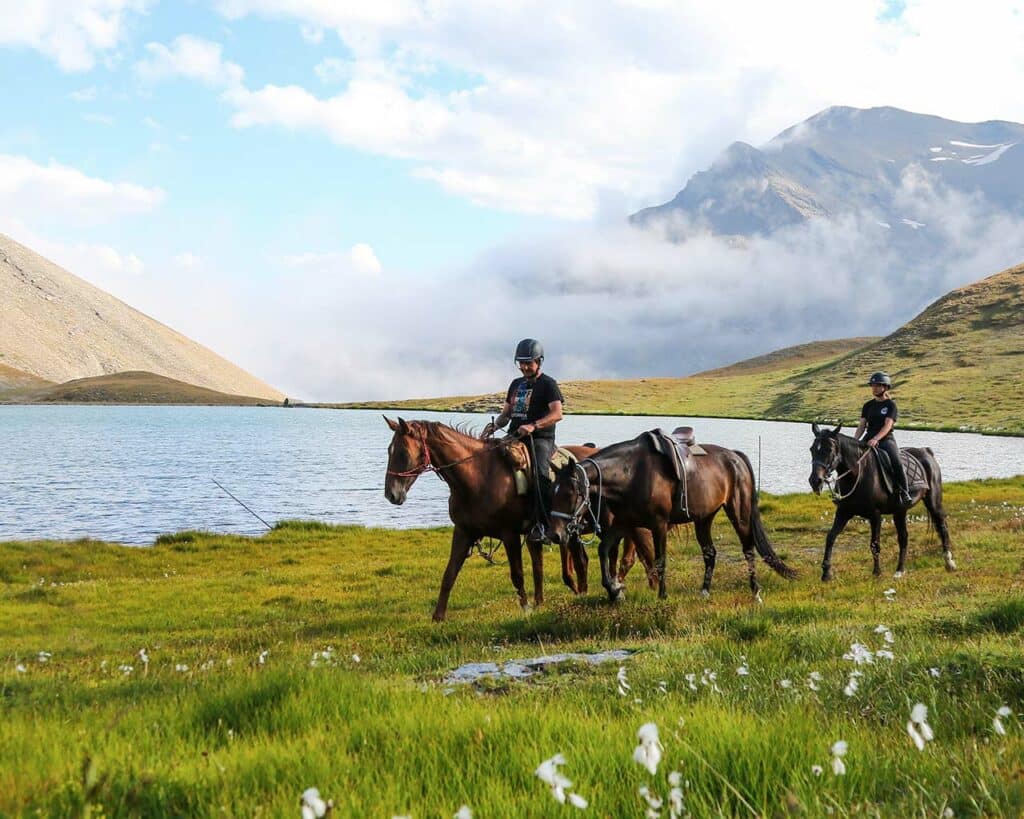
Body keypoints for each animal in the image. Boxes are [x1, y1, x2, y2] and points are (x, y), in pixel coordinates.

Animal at [385, 415, 655, 622]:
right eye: (390, 450)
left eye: (403, 452)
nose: (392, 494)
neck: (478, 477)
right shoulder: (464, 532)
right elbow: (449, 574)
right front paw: (438, 617)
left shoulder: (510, 534)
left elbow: (518, 574)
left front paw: (526, 608)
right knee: (590, 561)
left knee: (637, 552)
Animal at [548, 434, 794, 601]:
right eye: (553, 491)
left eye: (570, 493)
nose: (555, 534)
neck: (631, 473)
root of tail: (736, 457)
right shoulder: (623, 523)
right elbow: (604, 550)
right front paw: (615, 589)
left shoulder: (658, 524)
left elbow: (659, 560)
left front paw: (662, 595)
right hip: (703, 518)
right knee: (710, 553)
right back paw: (704, 592)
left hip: (738, 513)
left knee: (748, 549)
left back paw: (756, 593)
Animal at [806, 425, 950, 577]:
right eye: (812, 449)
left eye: (829, 449)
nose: (815, 481)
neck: (858, 474)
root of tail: (927, 452)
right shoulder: (844, 511)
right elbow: (830, 537)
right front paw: (826, 572)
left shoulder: (875, 515)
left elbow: (874, 544)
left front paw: (876, 572)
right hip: (900, 511)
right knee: (903, 537)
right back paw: (899, 571)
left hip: (933, 502)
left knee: (942, 526)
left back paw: (949, 562)